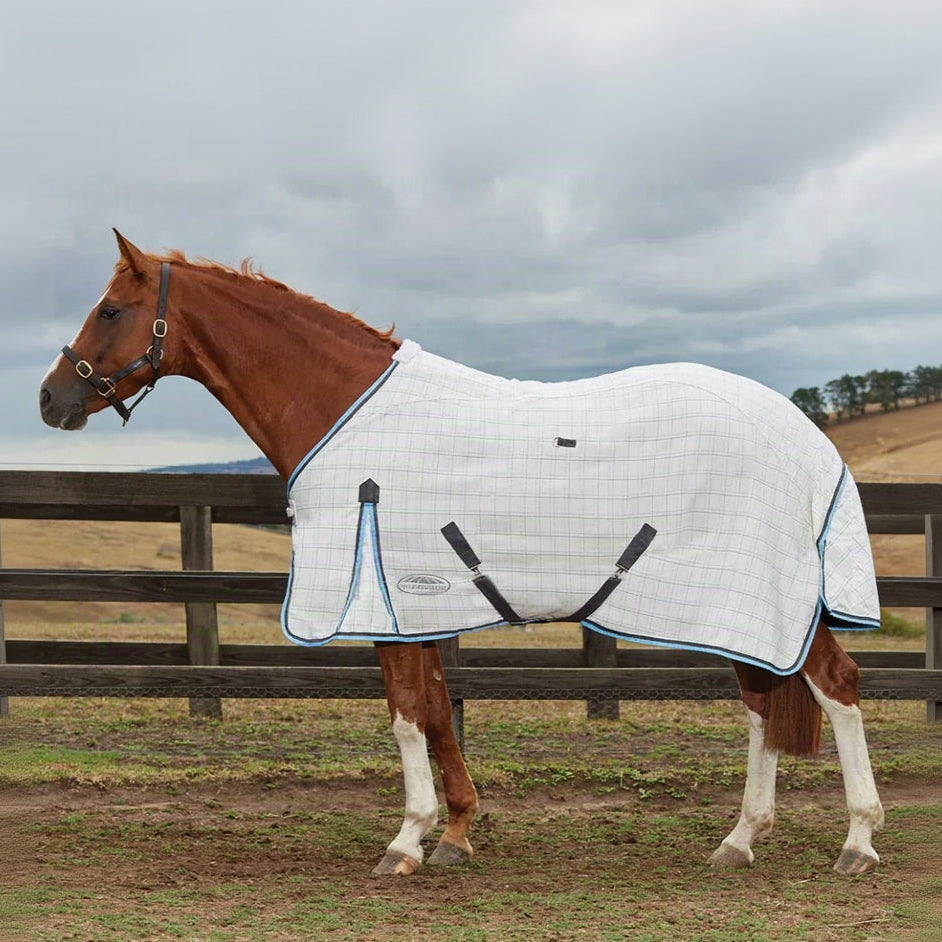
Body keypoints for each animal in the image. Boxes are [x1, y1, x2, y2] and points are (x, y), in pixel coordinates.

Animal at [39, 230, 884, 876]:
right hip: (742, 609)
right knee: (763, 702)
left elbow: (407, 718)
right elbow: (439, 712)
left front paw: (405, 841)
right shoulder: (420, 609)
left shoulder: (382, 607)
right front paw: (453, 834)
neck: (343, 409)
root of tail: (811, 439)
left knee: (834, 687)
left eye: (111, 309)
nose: (49, 399)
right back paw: (740, 840)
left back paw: (857, 841)